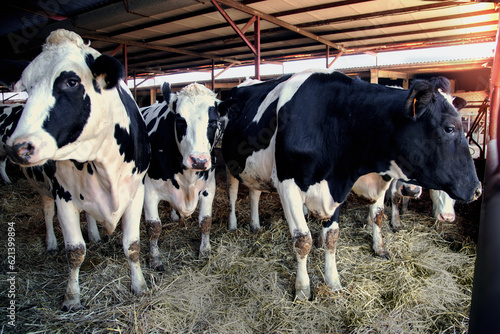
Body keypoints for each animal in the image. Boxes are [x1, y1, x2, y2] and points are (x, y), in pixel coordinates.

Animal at [4, 28, 150, 310]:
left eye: (71, 82)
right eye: (26, 89)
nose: (18, 147)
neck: (102, 163)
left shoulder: (136, 192)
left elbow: (132, 245)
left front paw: (139, 285)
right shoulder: (64, 197)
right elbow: (75, 251)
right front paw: (71, 297)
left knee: (90, 216)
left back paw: (94, 234)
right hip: (44, 187)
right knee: (47, 212)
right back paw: (51, 243)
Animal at [141, 81, 219, 268]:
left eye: (213, 121)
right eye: (179, 120)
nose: (199, 161)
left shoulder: (209, 188)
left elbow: (206, 221)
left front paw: (205, 251)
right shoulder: (148, 192)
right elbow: (154, 227)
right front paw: (155, 258)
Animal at [222, 70, 480, 300]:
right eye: (449, 128)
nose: (477, 189)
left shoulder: (338, 187)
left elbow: (335, 235)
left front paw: (334, 282)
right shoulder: (288, 185)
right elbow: (302, 240)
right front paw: (303, 289)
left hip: (254, 170)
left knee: (254, 192)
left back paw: (255, 224)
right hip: (229, 164)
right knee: (233, 194)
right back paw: (233, 225)